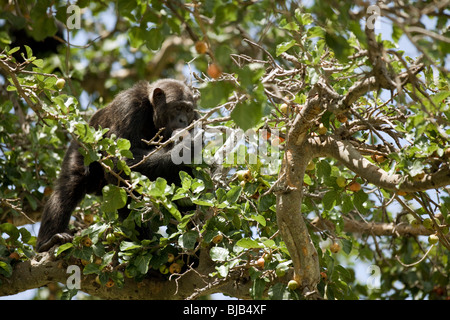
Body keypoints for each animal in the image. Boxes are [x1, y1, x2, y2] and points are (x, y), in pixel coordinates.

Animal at [37, 79, 200, 251]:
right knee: (70, 186)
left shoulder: (195, 118)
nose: (183, 120)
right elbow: (121, 163)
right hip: (82, 145)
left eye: (188, 110)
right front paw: (188, 147)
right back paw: (49, 240)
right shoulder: (128, 108)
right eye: (178, 108)